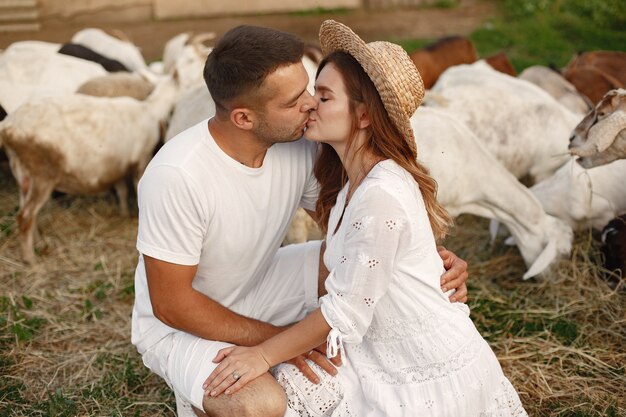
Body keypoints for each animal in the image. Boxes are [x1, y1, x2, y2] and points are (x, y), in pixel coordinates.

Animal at [0, 73, 180, 264]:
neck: (150, 109)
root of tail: (8, 127)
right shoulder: (141, 159)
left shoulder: (116, 167)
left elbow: (122, 190)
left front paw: (123, 213)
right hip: (42, 173)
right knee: (25, 216)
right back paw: (29, 258)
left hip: (22, 172)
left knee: (25, 212)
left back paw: (39, 243)